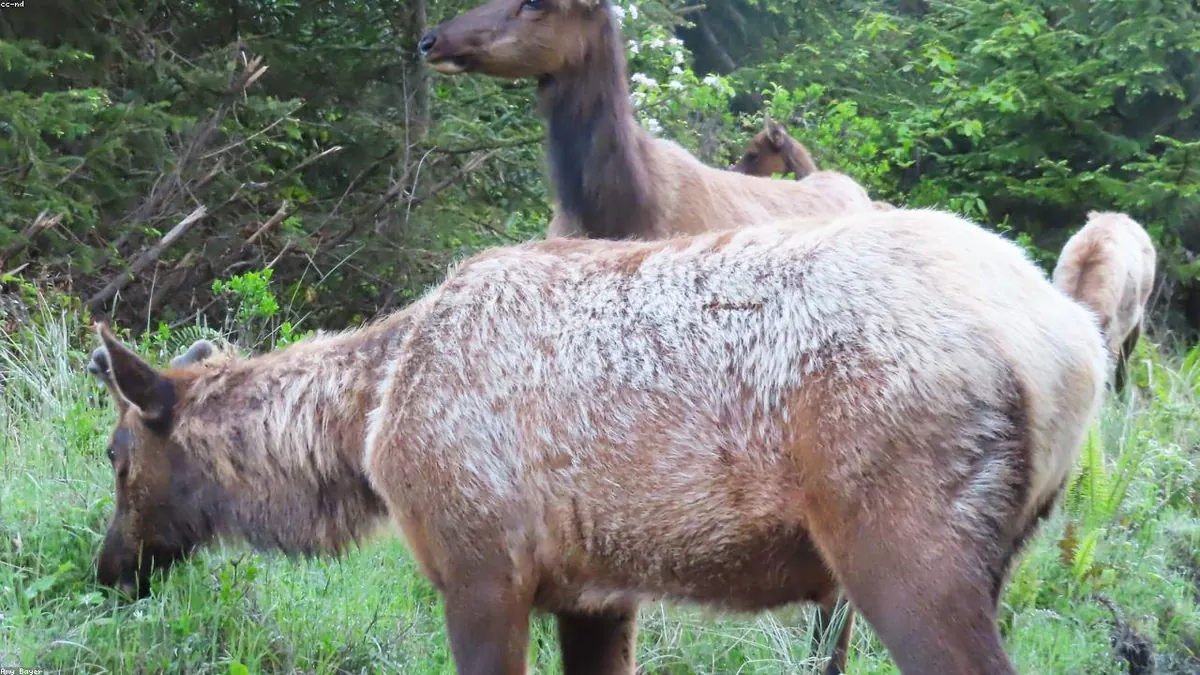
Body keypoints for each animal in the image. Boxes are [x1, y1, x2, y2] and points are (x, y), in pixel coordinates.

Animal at [87, 206, 1108, 675]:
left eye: (115, 457)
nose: (107, 570)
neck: (366, 427)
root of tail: (1076, 346)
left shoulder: (480, 565)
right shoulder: (596, 590)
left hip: (905, 549)